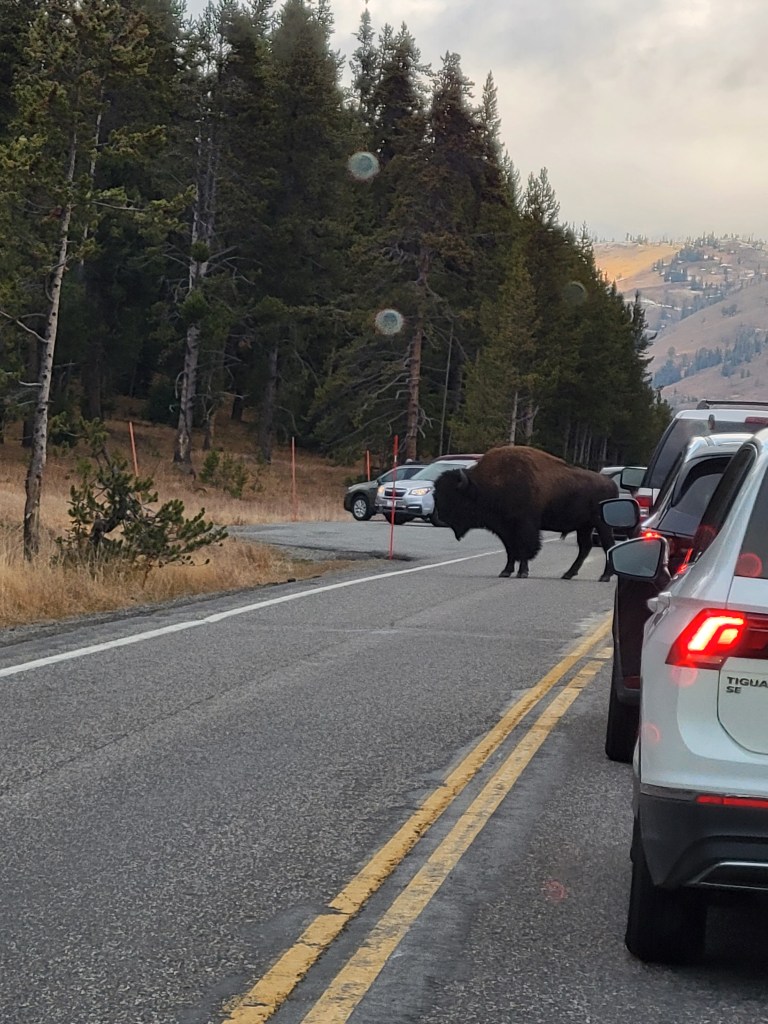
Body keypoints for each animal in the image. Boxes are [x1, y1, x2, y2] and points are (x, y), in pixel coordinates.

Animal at [433, 446, 618, 580]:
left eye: (453, 497)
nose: (441, 517)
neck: (484, 485)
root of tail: (611, 482)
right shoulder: (504, 529)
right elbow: (511, 550)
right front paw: (506, 571)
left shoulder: (524, 526)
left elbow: (524, 548)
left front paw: (522, 573)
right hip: (584, 526)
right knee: (585, 548)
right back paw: (568, 574)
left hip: (601, 525)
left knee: (608, 545)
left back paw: (604, 576)